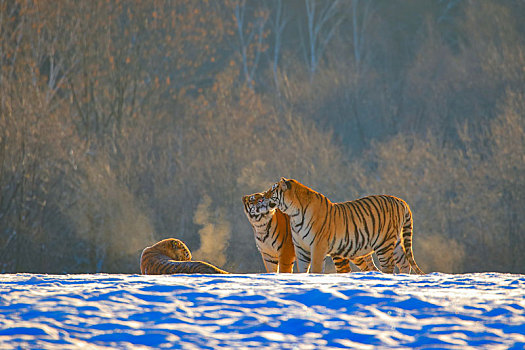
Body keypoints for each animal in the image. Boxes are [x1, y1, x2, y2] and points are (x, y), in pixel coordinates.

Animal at [244, 191, 378, 274]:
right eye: (252, 199)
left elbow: (283, 270)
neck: (261, 225)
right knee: (369, 267)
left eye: (262, 196)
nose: (261, 200)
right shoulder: (268, 255)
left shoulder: (285, 251)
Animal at [260, 179, 422, 274]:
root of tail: (401, 201)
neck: (293, 215)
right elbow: (303, 270)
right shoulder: (301, 249)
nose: (262, 197)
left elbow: (316, 269)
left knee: (389, 265)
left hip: (384, 243)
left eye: (272, 190)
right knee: (404, 263)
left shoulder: (317, 246)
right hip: (396, 243)